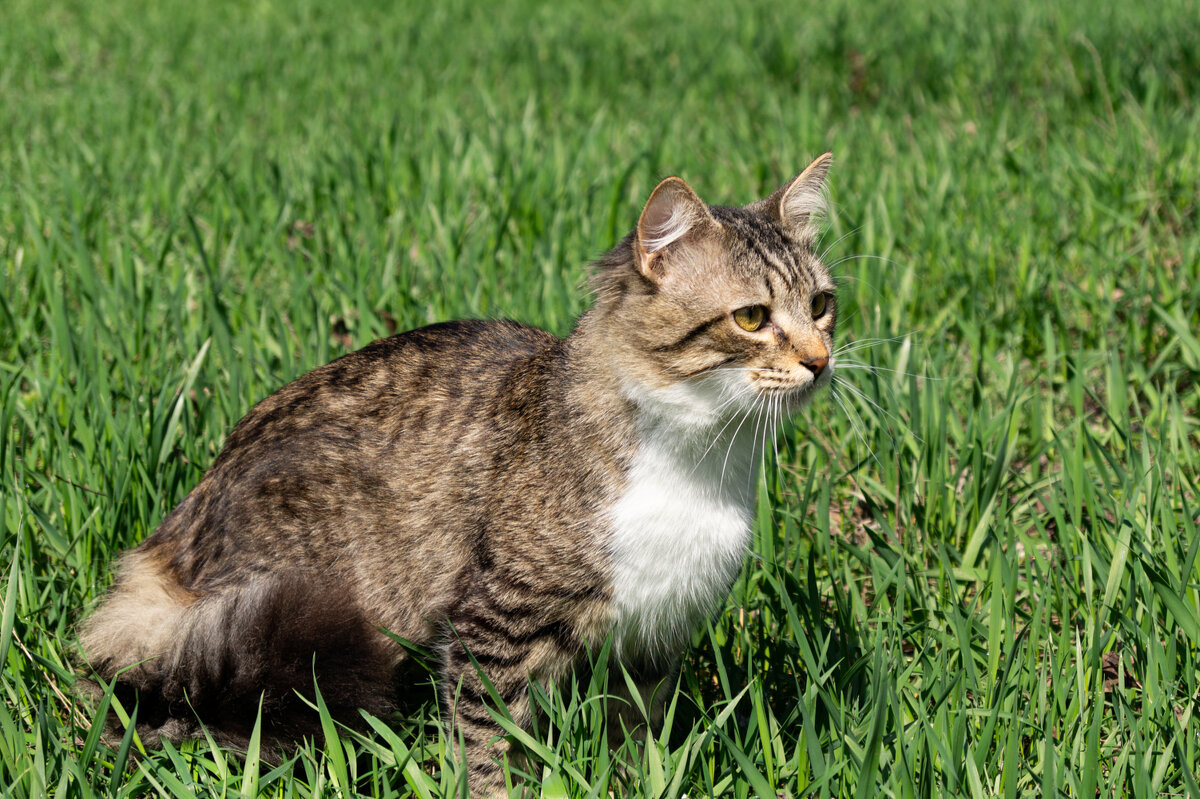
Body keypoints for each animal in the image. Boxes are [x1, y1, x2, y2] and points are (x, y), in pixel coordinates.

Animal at [79, 152, 840, 791]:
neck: (705, 457)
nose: (820, 361)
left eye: (821, 306)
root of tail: (167, 541)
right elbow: (486, 741)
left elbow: (637, 743)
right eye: (751, 317)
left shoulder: (656, 636)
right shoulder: (495, 621)